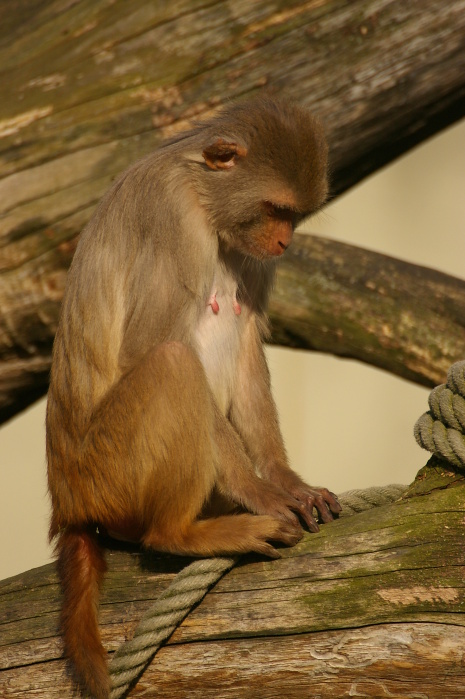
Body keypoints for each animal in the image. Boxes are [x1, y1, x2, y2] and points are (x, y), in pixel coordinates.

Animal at [46, 94, 340, 699]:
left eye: (294, 216)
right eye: (275, 208)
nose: (285, 242)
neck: (203, 194)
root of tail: (70, 501)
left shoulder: (242, 245)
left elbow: (246, 334)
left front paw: (284, 479)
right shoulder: (173, 221)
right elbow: (149, 346)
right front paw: (258, 489)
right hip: (109, 470)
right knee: (173, 361)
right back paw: (179, 534)